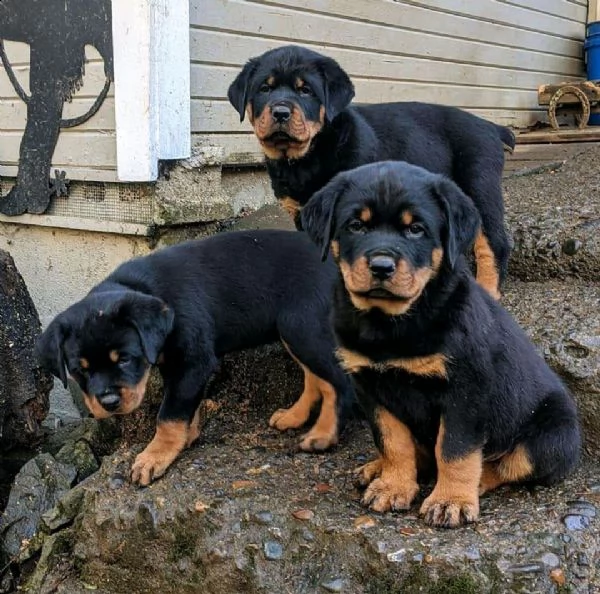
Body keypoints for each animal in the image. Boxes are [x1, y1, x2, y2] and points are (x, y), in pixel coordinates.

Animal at [35, 229, 354, 484]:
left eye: (124, 359)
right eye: (80, 370)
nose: (109, 403)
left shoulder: (193, 361)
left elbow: (170, 414)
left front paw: (155, 456)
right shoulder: (180, 366)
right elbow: (188, 404)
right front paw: (187, 436)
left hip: (302, 326)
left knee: (339, 382)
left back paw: (323, 435)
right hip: (296, 332)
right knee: (315, 376)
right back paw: (294, 416)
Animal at [230, 44, 516, 298]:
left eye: (306, 91)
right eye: (264, 88)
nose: (280, 112)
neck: (307, 156)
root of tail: (491, 126)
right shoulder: (304, 214)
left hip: (479, 187)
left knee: (494, 244)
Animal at [300, 160, 580, 524]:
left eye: (416, 229)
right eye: (356, 226)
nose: (381, 267)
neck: (391, 322)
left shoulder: (465, 390)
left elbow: (454, 450)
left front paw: (451, 500)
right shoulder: (370, 387)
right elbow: (392, 442)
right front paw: (393, 485)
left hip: (549, 438)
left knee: (506, 464)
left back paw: (475, 483)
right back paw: (376, 469)